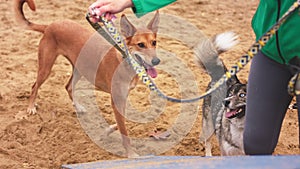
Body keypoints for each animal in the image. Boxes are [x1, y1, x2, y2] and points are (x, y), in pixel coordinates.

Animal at [14, 0, 159, 158]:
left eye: (154, 42)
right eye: (140, 45)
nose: (156, 61)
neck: (126, 60)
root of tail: (50, 25)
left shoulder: (122, 98)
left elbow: (123, 121)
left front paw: (108, 130)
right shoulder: (116, 100)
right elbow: (124, 131)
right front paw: (131, 154)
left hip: (79, 69)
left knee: (68, 87)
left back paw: (78, 107)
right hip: (46, 67)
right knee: (35, 86)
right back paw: (31, 107)